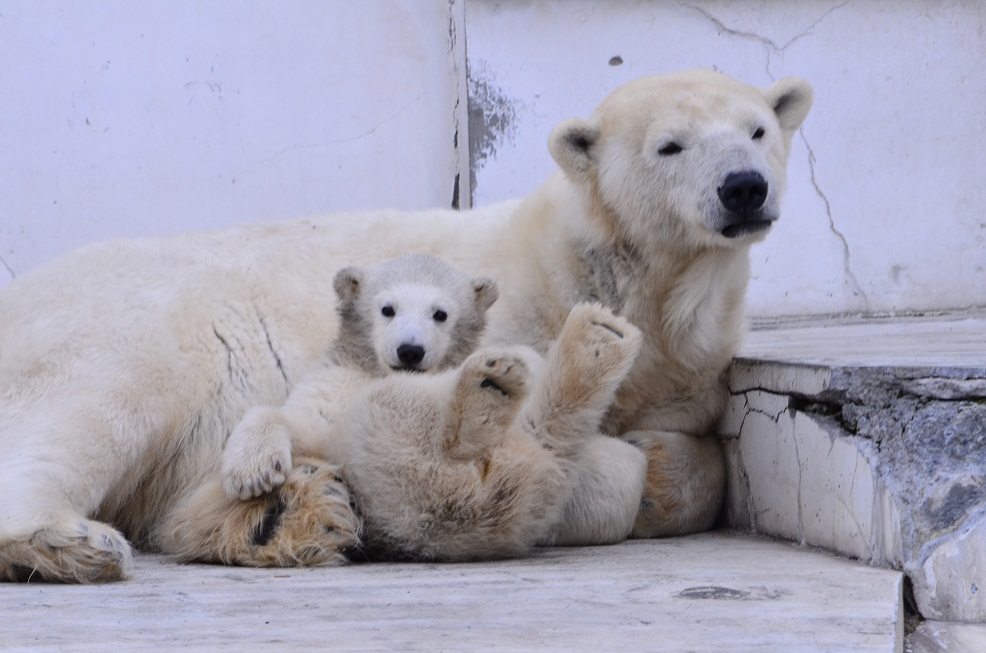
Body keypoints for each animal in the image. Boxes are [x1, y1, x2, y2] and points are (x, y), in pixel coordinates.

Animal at [0, 70, 808, 580]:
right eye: (671, 144)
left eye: (759, 129)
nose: (744, 188)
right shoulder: (506, 327)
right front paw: (616, 465)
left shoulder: (686, 368)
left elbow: (694, 449)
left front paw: (660, 458)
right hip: (126, 327)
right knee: (101, 408)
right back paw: (69, 540)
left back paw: (287, 516)